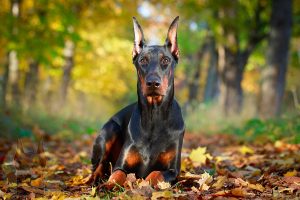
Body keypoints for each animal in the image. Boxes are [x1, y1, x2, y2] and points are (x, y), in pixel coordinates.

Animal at [89, 16, 184, 189]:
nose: (153, 83)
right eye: (143, 60)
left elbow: (155, 174)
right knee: (100, 164)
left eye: (166, 60)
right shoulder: (121, 165)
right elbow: (117, 174)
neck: (154, 117)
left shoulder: (173, 171)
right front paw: (108, 185)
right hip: (109, 130)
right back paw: (94, 178)